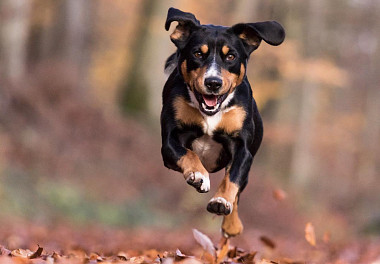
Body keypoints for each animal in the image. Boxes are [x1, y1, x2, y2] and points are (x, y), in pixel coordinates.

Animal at [161, 7, 284, 237]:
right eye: (198, 54)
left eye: (231, 56)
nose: (213, 82)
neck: (210, 113)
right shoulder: (170, 141)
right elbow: (186, 153)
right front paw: (198, 174)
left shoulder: (242, 148)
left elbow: (232, 179)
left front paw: (221, 201)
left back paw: (232, 224)